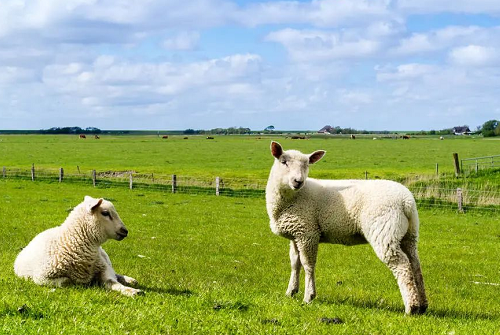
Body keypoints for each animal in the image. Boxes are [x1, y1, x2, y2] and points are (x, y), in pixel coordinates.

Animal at [13, 196, 143, 298]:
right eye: (105, 213)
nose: (125, 231)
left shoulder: (104, 268)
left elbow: (112, 281)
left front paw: (133, 291)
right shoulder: (42, 278)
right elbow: (66, 281)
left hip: (105, 258)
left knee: (115, 273)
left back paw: (130, 280)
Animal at [268, 142, 428, 316]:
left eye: (307, 165)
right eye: (284, 162)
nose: (298, 181)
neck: (294, 197)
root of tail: (407, 202)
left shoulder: (307, 233)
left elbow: (308, 264)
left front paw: (308, 296)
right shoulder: (296, 234)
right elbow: (294, 263)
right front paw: (291, 291)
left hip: (385, 233)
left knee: (402, 266)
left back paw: (411, 308)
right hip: (409, 235)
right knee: (415, 264)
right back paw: (422, 305)